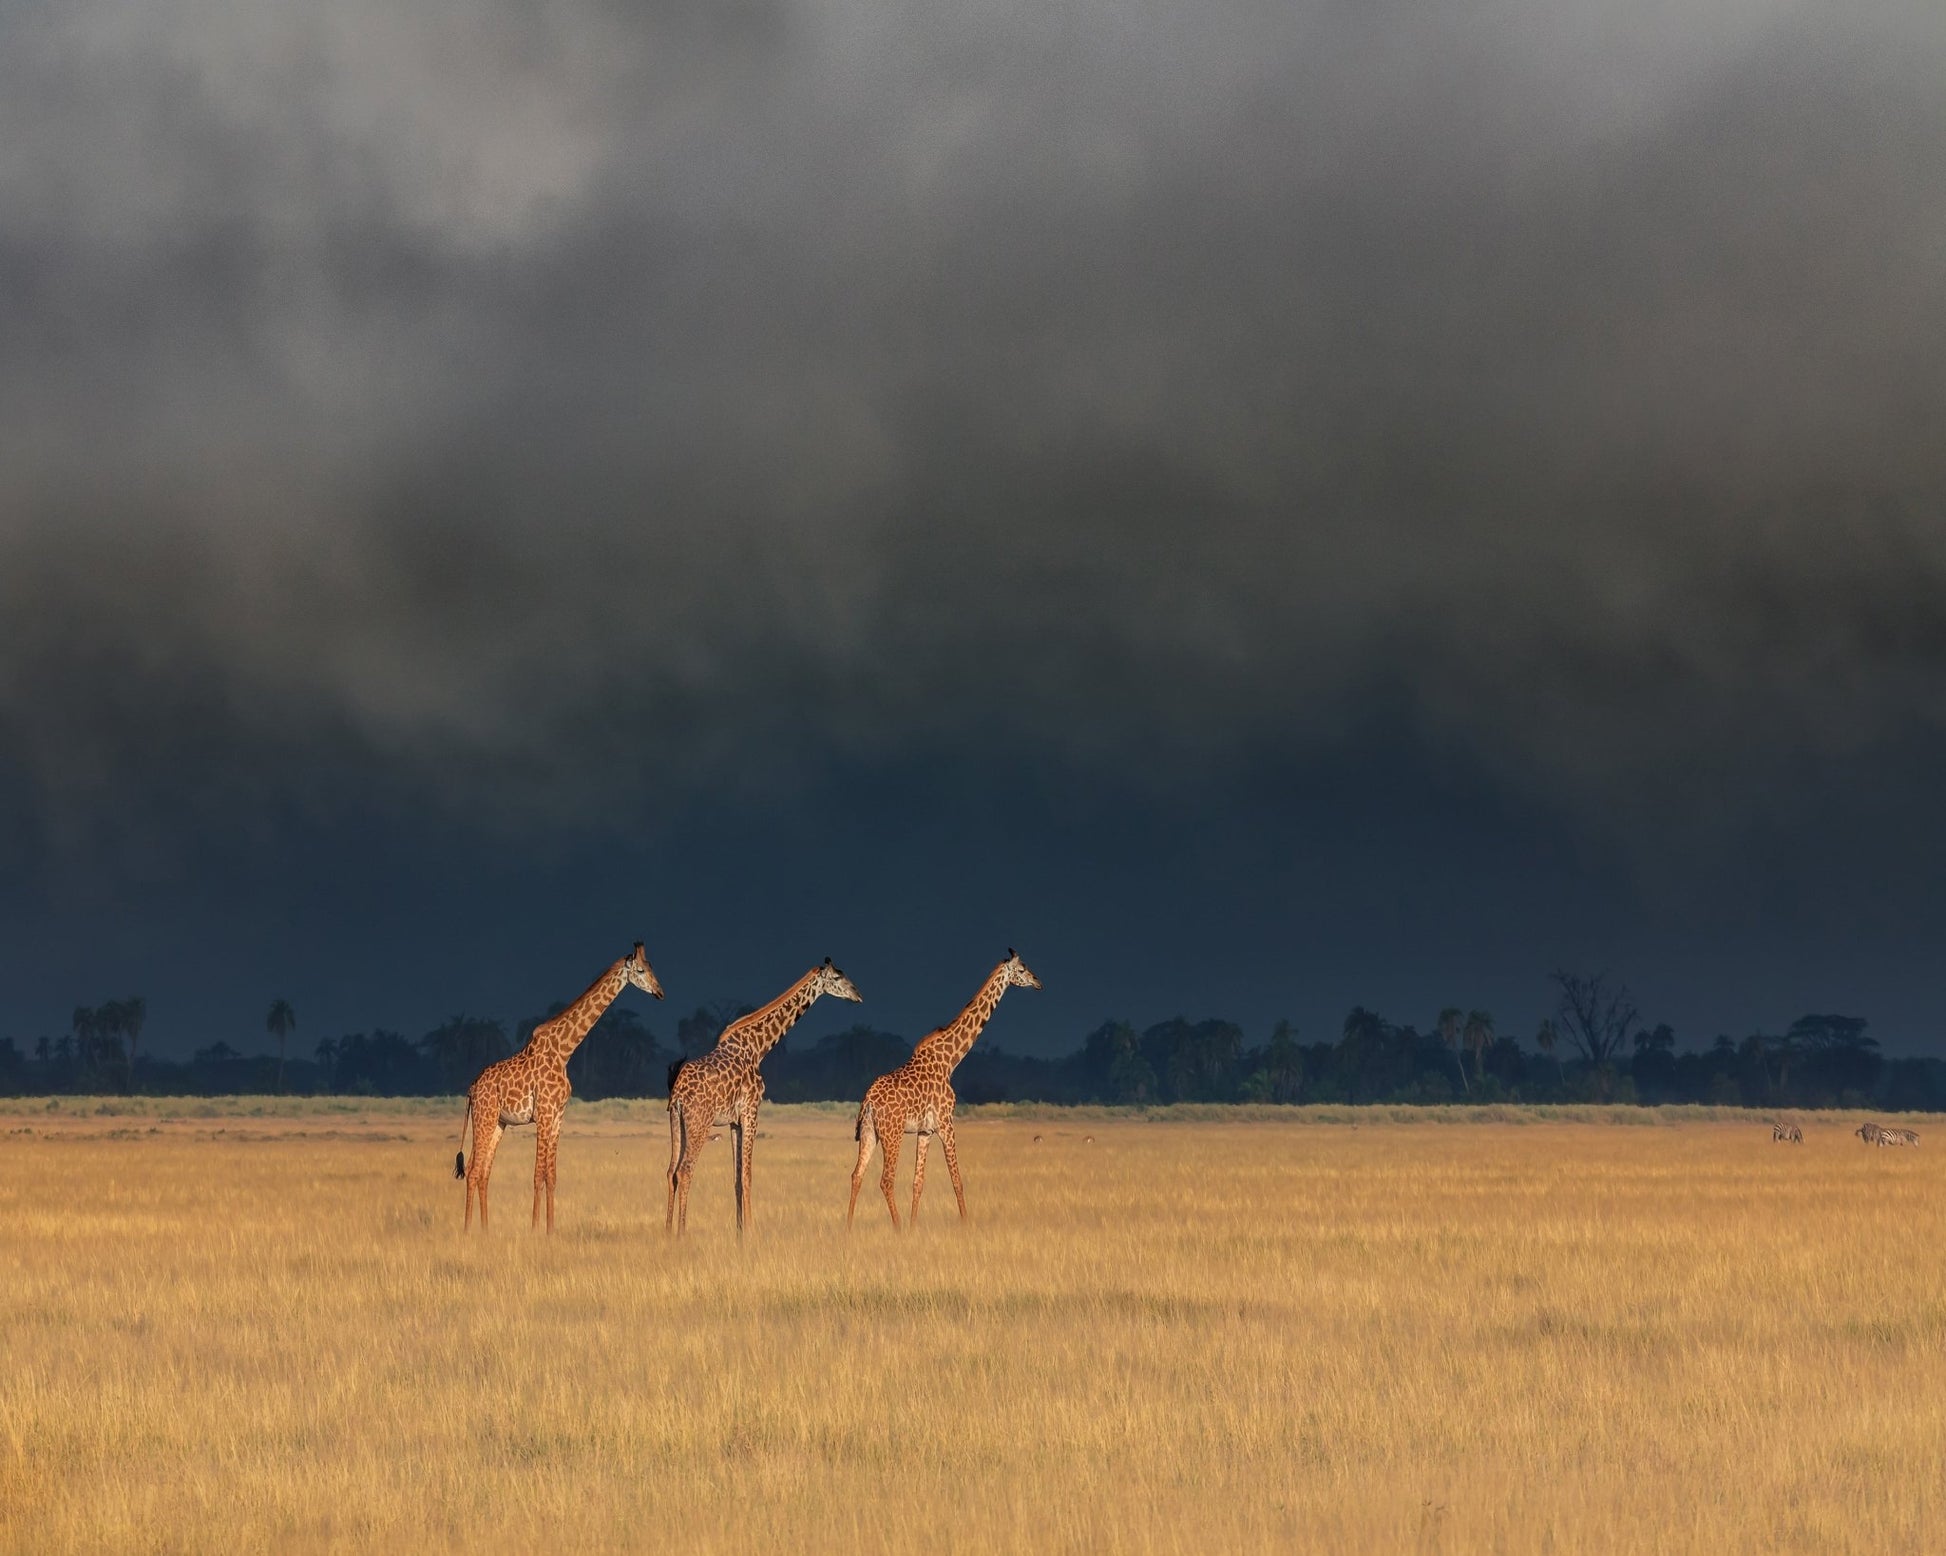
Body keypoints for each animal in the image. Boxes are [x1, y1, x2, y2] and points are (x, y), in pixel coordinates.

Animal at [456, 941, 663, 1233]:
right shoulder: (543, 1114)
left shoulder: (557, 1117)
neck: (564, 1051)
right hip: (484, 1118)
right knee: (474, 1170)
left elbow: (551, 1176)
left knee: (484, 1171)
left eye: (652, 967)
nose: (660, 992)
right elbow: (537, 1175)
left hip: (498, 1122)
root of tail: (471, 1088)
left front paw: (550, 1230)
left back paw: (485, 1231)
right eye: (642, 970)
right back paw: (467, 1231)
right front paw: (534, 1230)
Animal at [666, 958, 862, 1236]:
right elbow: (748, 1176)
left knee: (671, 1171)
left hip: (677, 1122)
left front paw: (739, 1233)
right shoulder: (751, 1111)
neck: (759, 1047)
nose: (857, 994)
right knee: (684, 1171)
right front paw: (750, 1232)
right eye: (837, 977)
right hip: (699, 1124)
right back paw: (682, 1234)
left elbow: (737, 1178)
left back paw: (667, 1232)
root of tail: (679, 1093)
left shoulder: (735, 1121)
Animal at [848, 949, 1042, 1230]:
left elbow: (918, 1183)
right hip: (892, 1133)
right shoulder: (947, 1123)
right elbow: (957, 1181)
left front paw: (914, 1227)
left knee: (856, 1175)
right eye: (1023, 969)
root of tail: (869, 1102)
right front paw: (966, 1224)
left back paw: (849, 1227)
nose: (1039, 982)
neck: (950, 1059)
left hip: (869, 1132)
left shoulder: (925, 1131)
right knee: (885, 1180)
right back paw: (897, 1228)